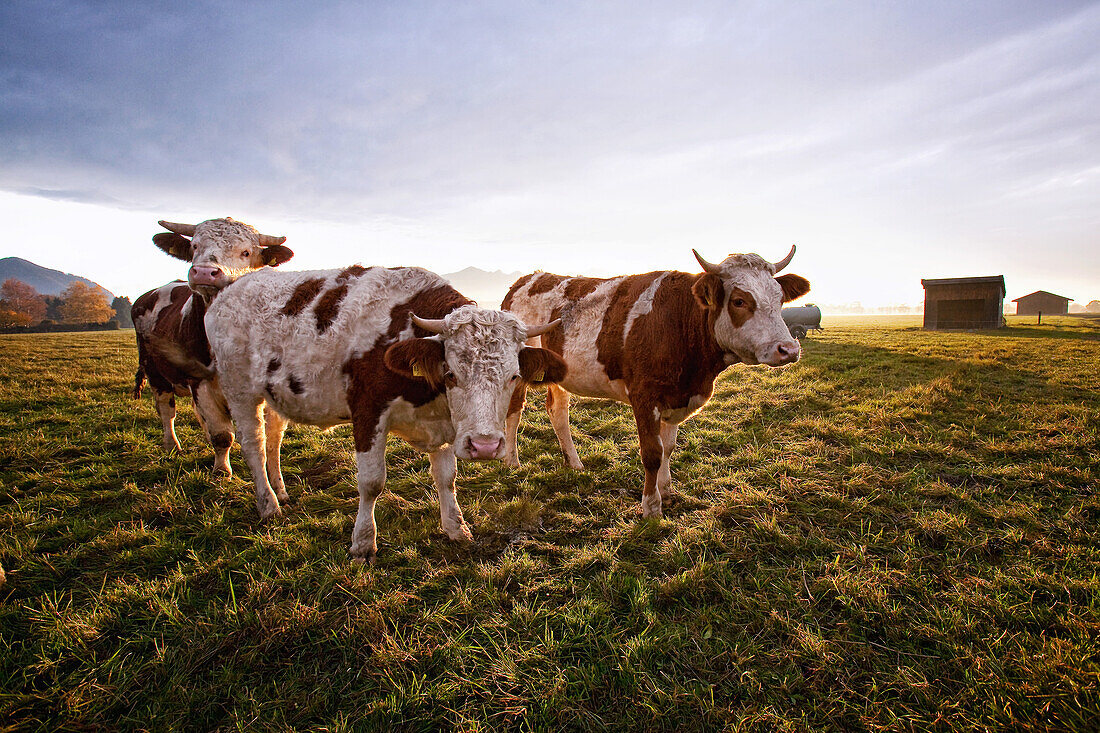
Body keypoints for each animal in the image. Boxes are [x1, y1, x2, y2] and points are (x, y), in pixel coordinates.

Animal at [130, 216, 294, 473]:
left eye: (246, 252)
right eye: (194, 246)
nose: (205, 272)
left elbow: (270, 438)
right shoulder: (201, 383)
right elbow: (222, 435)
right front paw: (222, 470)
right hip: (154, 370)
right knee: (166, 410)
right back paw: (171, 445)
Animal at [499, 248, 809, 517]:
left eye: (780, 299)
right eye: (739, 301)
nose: (788, 349)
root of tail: (526, 279)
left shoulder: (677, 396)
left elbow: (668, 447)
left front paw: (667, 491)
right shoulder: (645, 398)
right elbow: (652, 453)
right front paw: (651, 507)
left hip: (561, 374)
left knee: (558, 411)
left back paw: (574, 462)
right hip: (518, 371)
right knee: (514, 410)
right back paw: (512, 461)